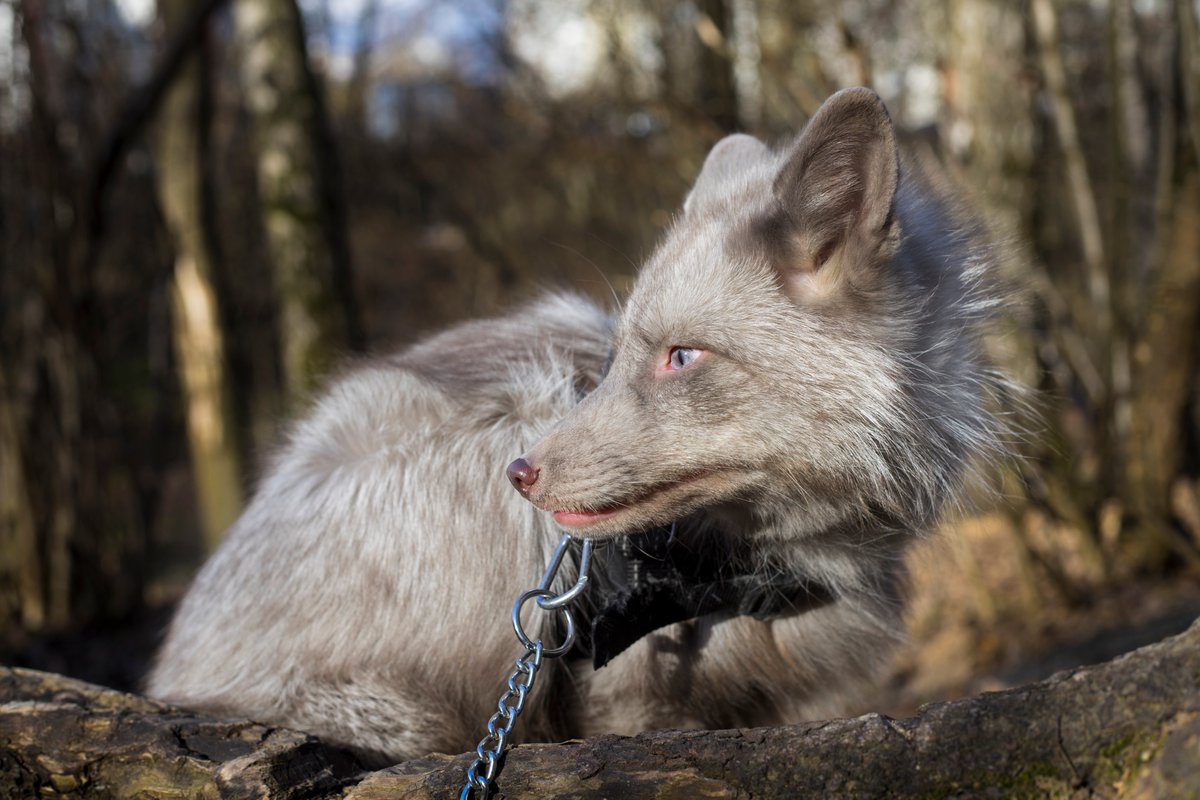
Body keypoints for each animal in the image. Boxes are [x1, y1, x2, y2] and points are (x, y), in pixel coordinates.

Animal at [147, 87, 1005, 765]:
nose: (522, 476)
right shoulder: (620, 683)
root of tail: (178, 669)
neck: (760, 564)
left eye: (681, 356)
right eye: (623, 352)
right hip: (507, 416)